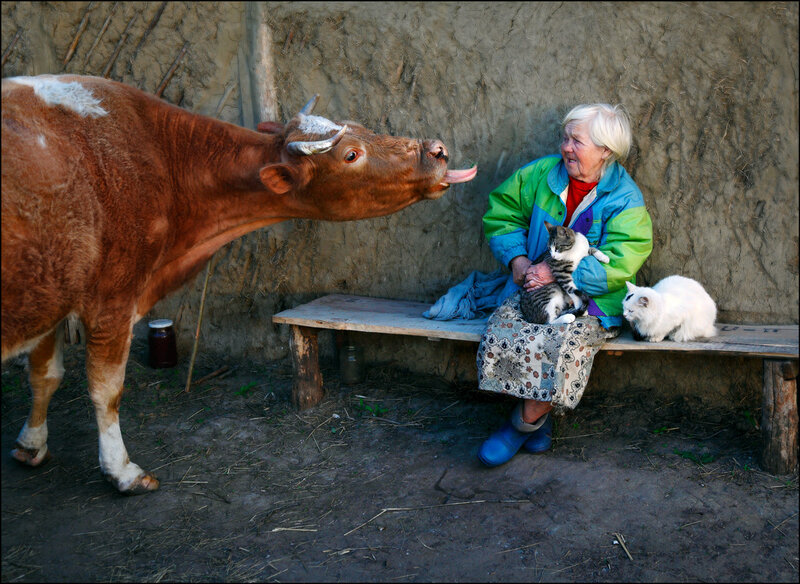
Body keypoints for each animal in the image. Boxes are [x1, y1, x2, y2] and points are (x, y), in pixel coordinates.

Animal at [1, 74, 477, 494]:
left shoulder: (51, 296)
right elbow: (106, 389)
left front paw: (30, 444)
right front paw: (122, 472)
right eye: (350, 155)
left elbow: (45, 374)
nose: (437, 149)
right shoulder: (112, 296)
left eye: (359, 127)